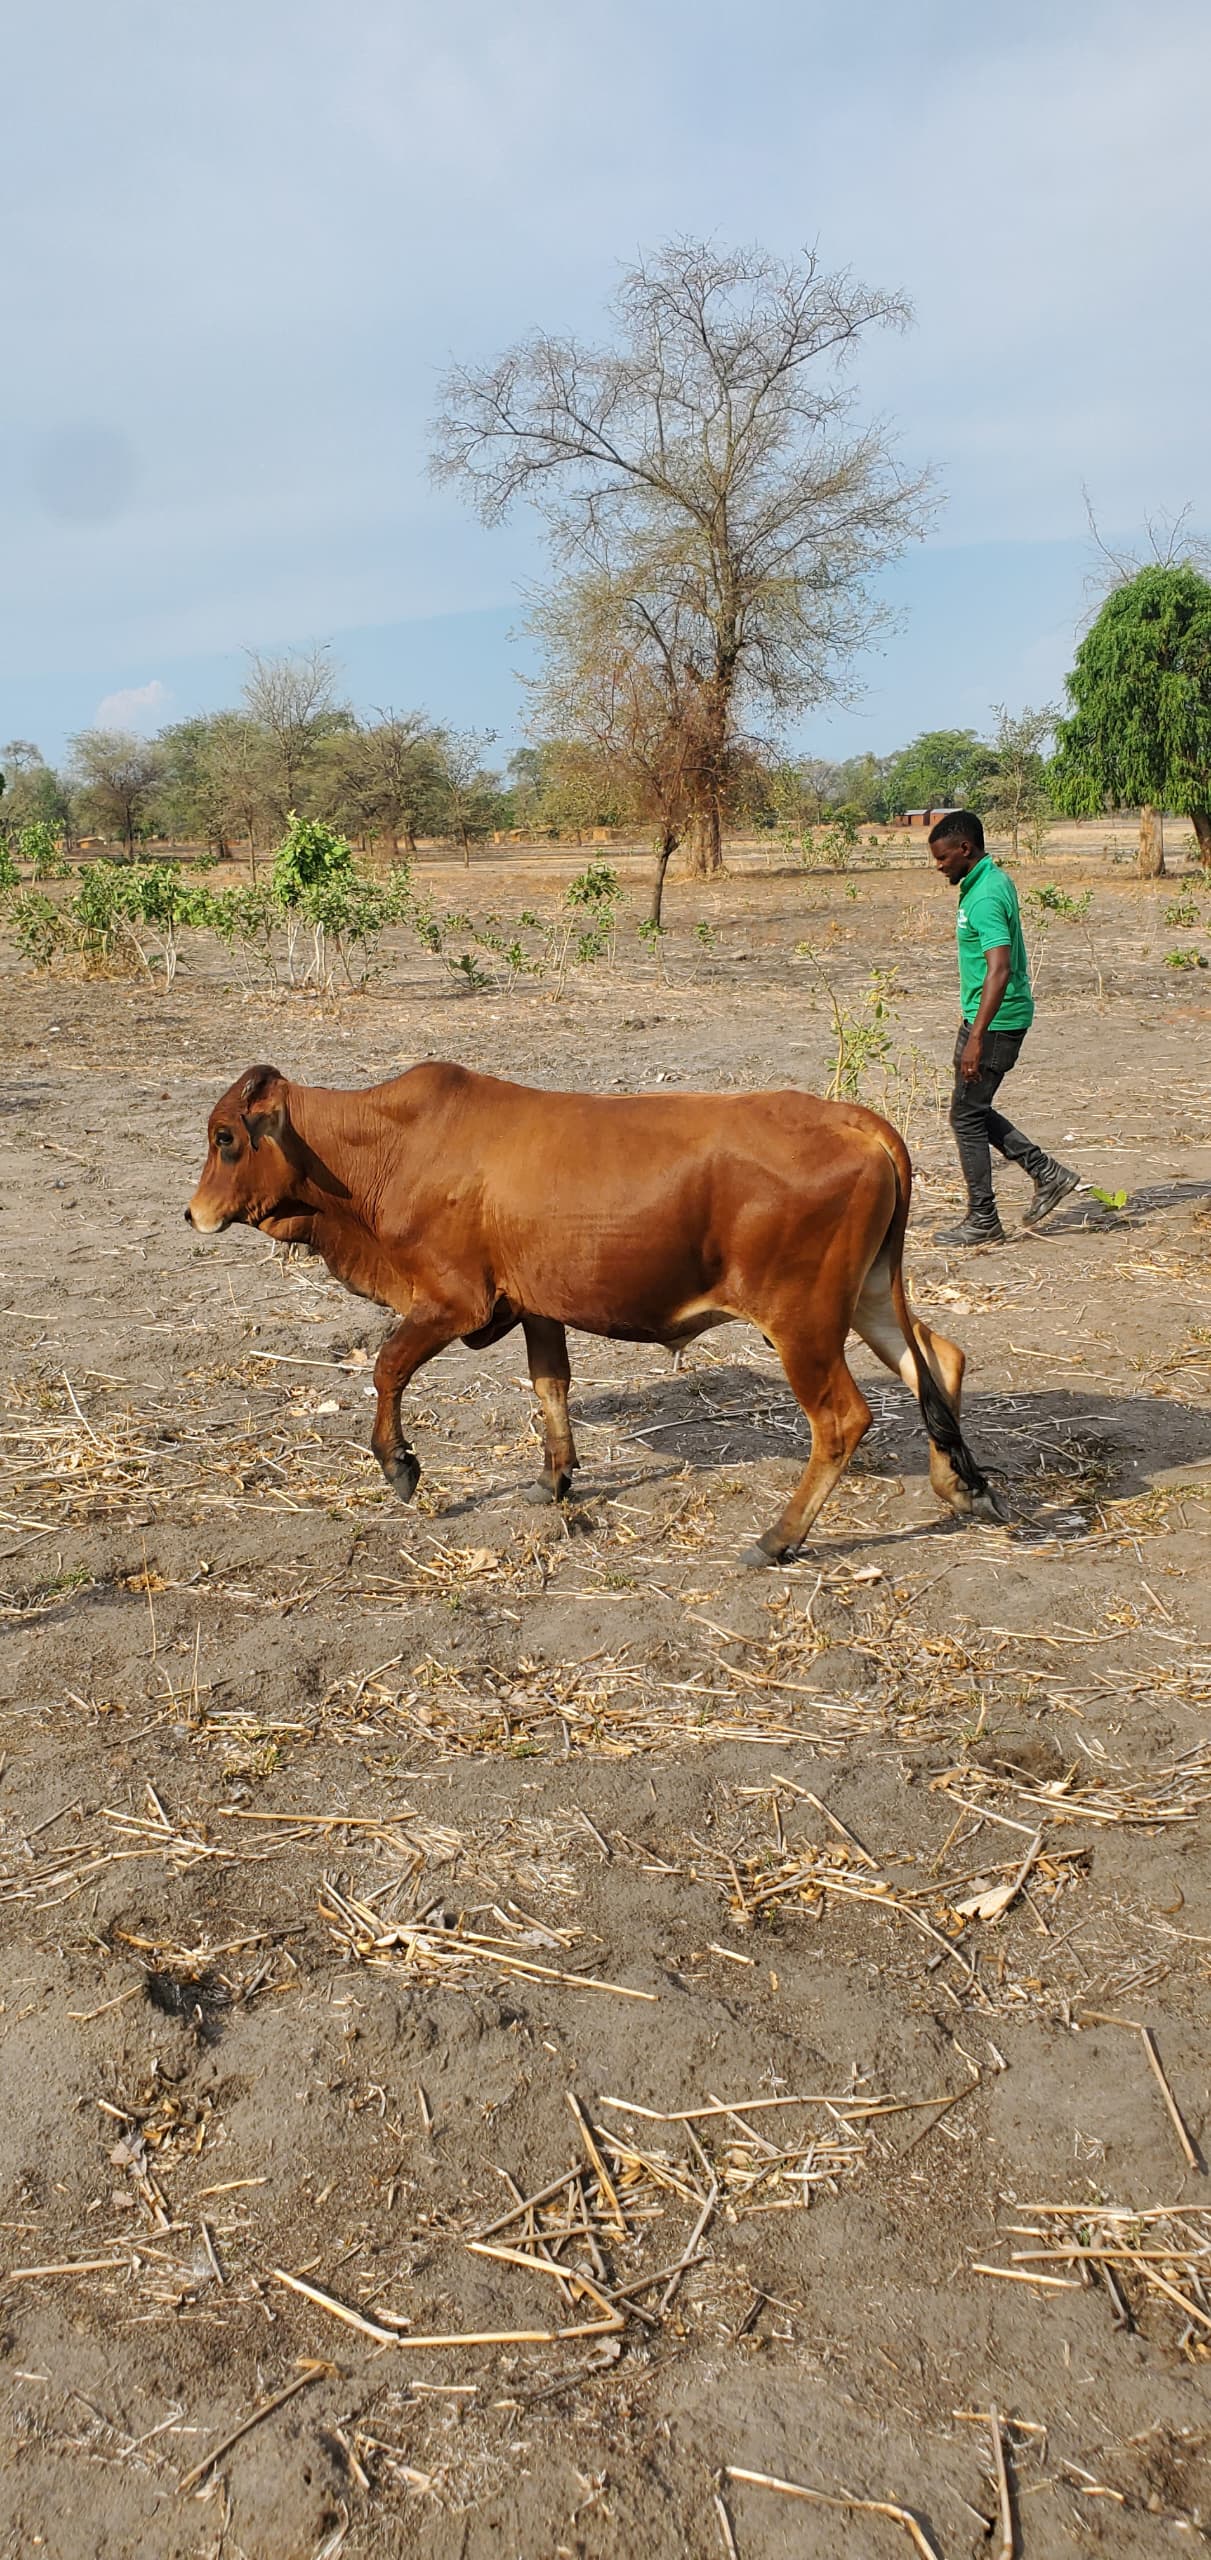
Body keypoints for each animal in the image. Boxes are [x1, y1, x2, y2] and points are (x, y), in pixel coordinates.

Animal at [185, 1061, 1002, 1563]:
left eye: (226, 1138)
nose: (193, 1214)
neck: (390, 1148)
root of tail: (859, 1123)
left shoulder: (453, 1302)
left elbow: (387, 1369)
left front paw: (400, 1465)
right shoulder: (535, 1306)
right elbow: (551, 1387)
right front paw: (554, 1480)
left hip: (803, 1322)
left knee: (841, 1420)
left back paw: (779, 1538)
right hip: (866, 1296)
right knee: (938, 1358)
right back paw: (958, 1482)